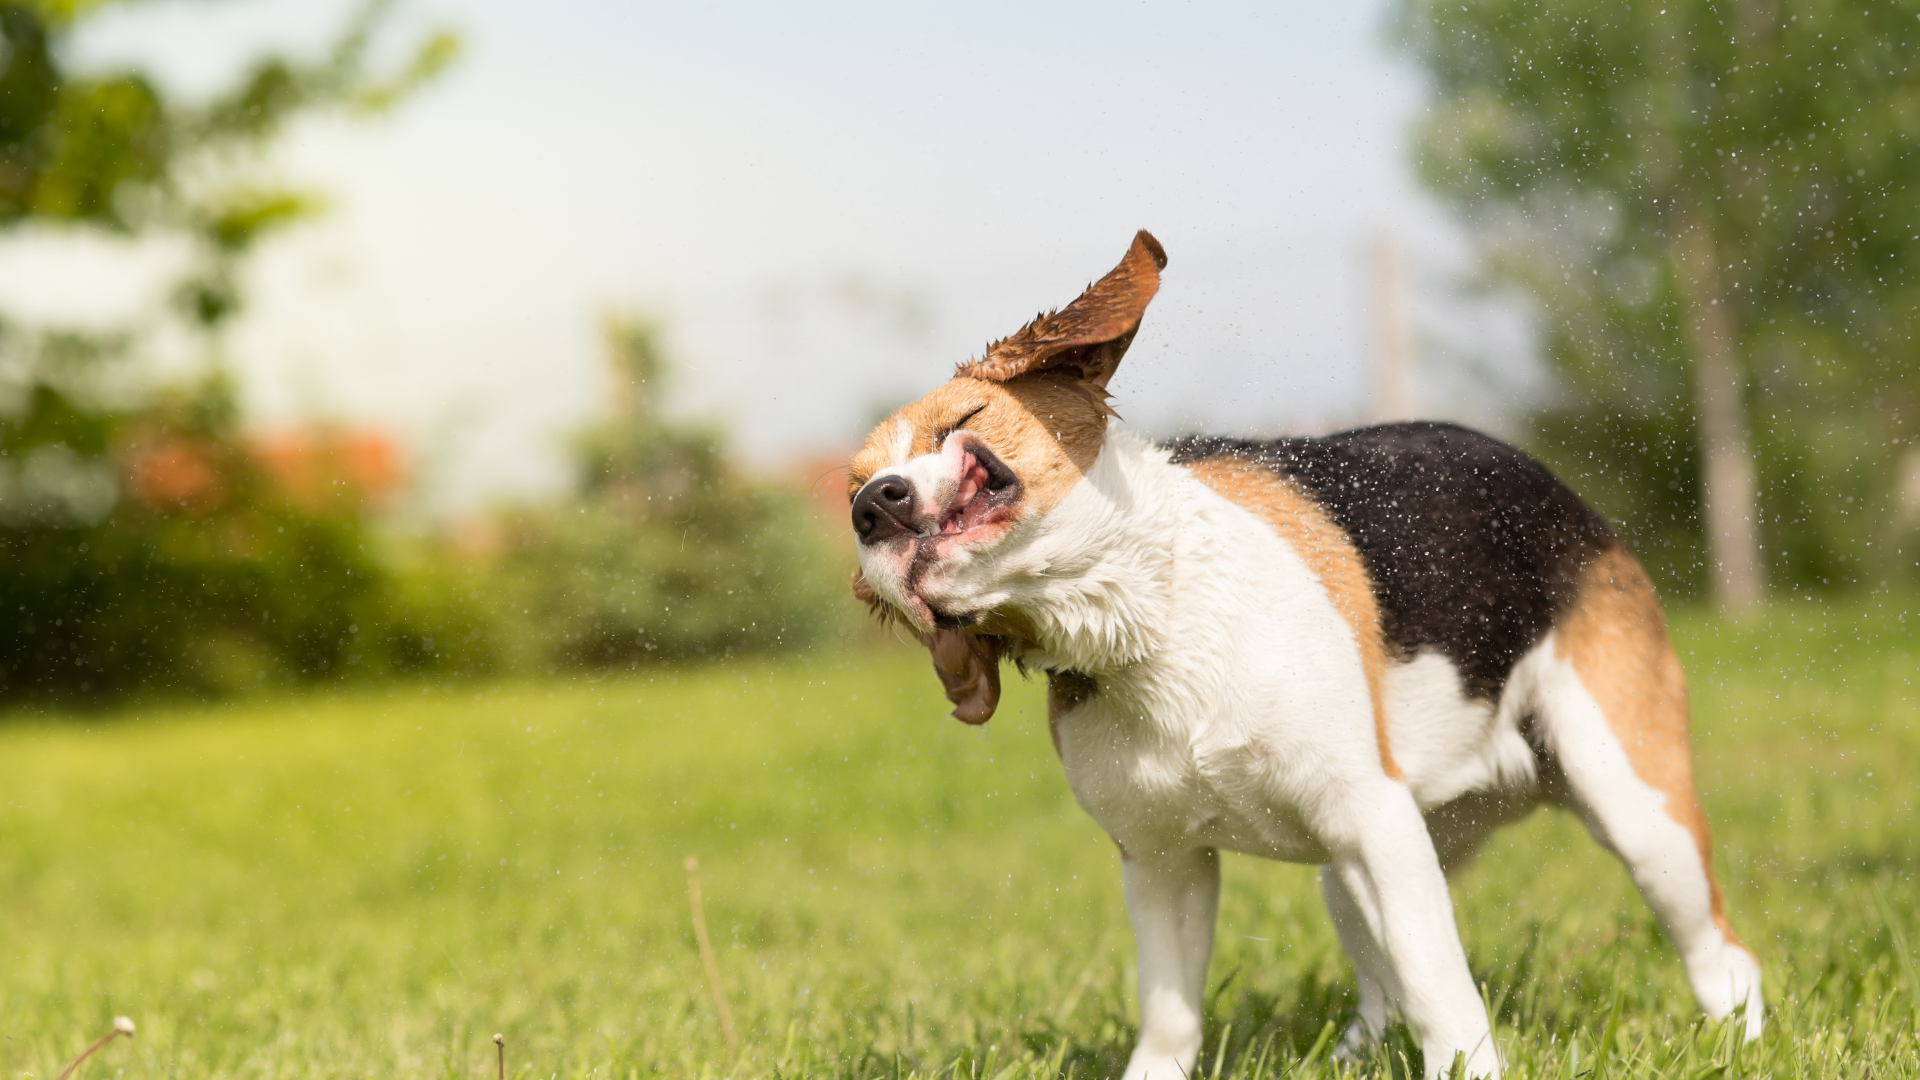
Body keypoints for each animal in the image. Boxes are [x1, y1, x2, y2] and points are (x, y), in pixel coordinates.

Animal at [848, 231, 1758, 1068]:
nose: (869, 506)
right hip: (1360, 872)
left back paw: (1737, 1040)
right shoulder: (1163, 862)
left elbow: (1441, 990)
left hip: (1633, 814)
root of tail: (1566, 495)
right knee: (1382, 990)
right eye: (853, 487)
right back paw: (1351, 1055)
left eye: (959, 424)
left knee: (1725, 955)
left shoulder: (1372, 819)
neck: (1151, 623)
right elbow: (1170, 1016)